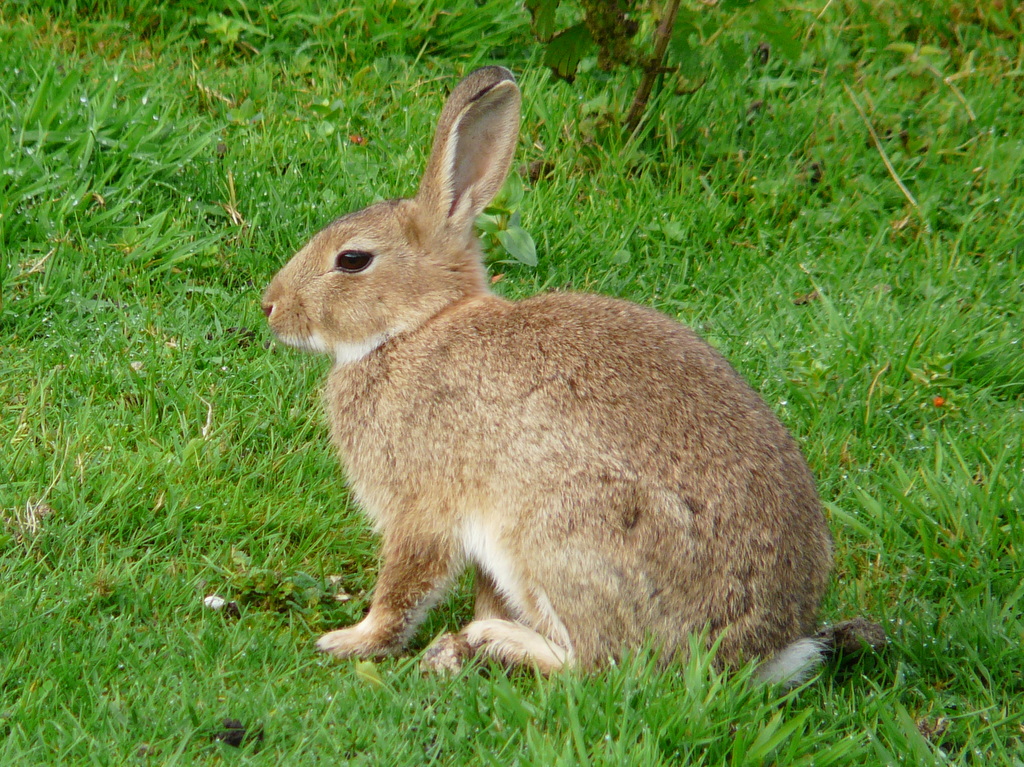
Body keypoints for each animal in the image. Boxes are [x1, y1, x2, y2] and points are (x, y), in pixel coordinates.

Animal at [262, 66, 831, 684]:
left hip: (558, 532)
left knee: (598, 663)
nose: (271, 307)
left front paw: (352, 640)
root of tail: (752, 652)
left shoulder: (422, 505)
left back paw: (497, 640)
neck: (417, 326)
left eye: (352, 260)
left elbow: (404, 587)